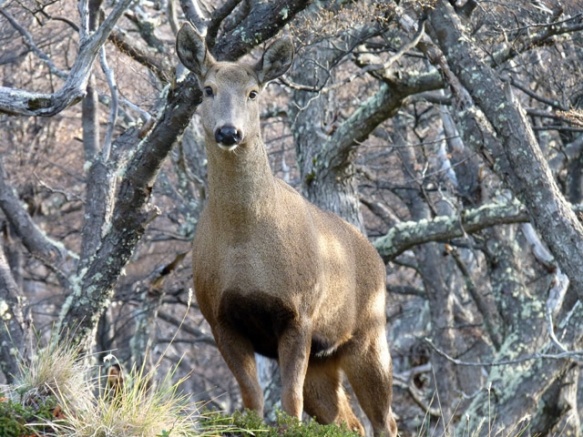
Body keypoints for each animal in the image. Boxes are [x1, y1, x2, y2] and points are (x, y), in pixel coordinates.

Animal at [176, 23, 400, 436]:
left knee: (384, 421)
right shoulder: (219, 316)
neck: (245, 247)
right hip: (324, 359)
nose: (229, 132)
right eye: (207, 89)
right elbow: (253, 401)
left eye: (253, 92)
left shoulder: (300, 312)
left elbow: (289, 405)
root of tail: (376, 257)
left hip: (369, 335)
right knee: (349, 423)